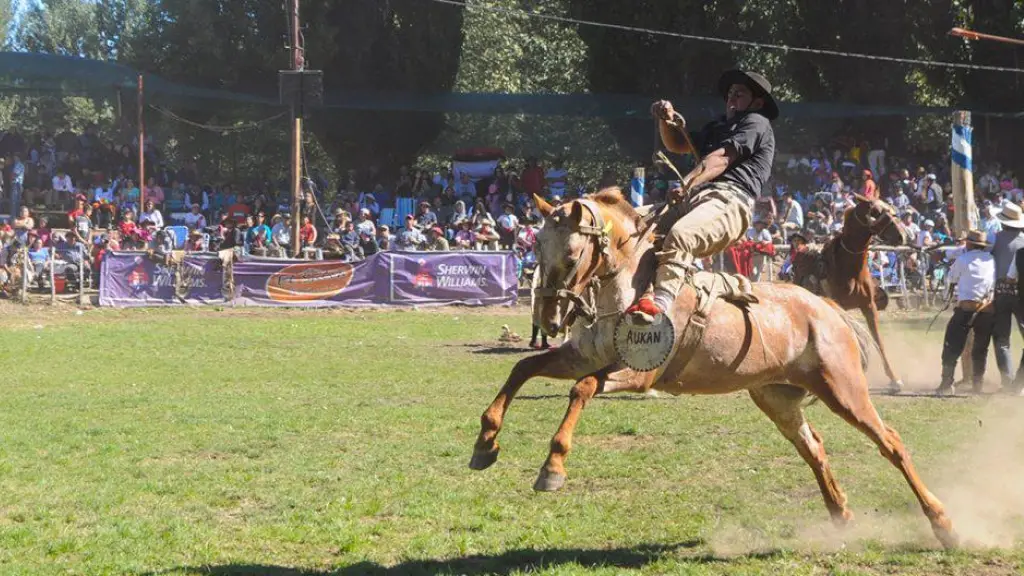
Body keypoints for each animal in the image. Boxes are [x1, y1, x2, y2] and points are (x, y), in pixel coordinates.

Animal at [790, 194, 913, 391]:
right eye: (876, 212)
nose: (902, 236)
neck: (849, 266)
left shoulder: (869, 306)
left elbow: (878, 341)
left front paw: (894, 379)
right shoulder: (838, 306)